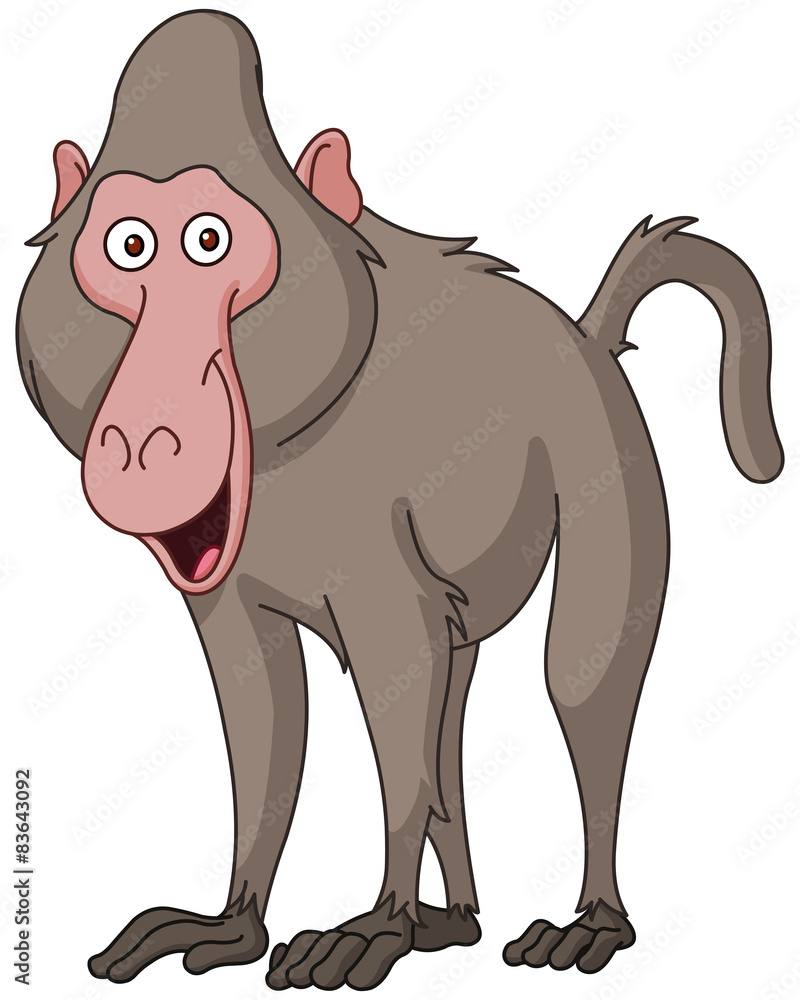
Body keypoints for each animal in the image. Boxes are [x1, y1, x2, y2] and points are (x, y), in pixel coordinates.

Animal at [16, 10, 783, 990]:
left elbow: (400, 679)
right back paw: (451, 923)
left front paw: (377, 923)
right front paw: (233, 923)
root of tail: (585, 339)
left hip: (604, 447)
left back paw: (582, 921)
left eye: (209, 242)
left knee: (575, 679)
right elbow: (265, 703)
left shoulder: (374, 543)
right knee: (451, 706)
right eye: (130, 248)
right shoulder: (223, 578)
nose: (145, 441)